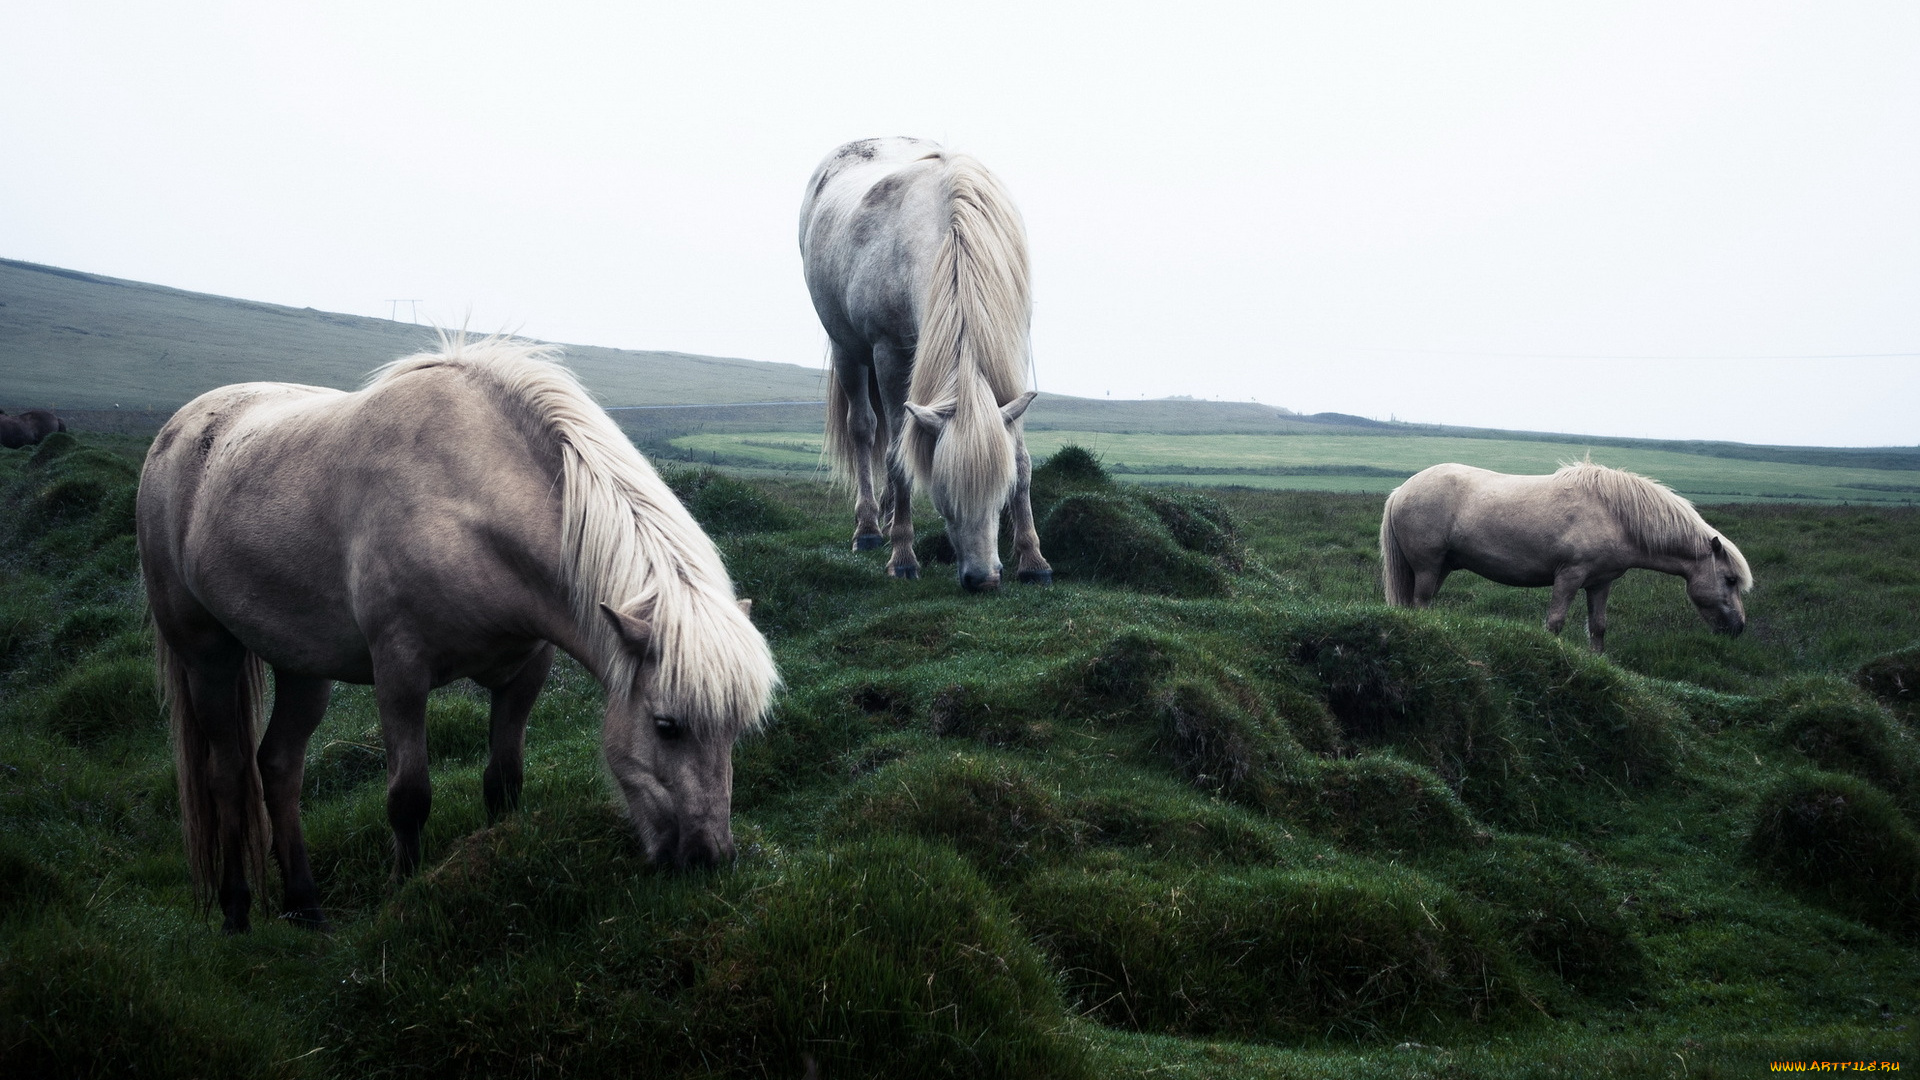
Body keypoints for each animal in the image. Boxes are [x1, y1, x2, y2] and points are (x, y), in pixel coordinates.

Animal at [133, 336, 779, 926]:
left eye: (737, 730)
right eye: (667, 726)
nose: (708, 859)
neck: (464, 501)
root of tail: (175, 431)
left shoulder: (524, 672)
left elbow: (504, 781)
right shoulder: (400, 674)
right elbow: (408, 798)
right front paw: (402, 897)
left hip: (301, 665)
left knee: (279, 767)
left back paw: (306, 907)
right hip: (206, 654)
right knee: (227, 775)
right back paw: (237, 912)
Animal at [802, 135, 1059, 591]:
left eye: (998, 495)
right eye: (944, 501)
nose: (982, 580)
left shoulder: (1011, 354)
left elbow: (1021, 458)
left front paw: (1034, 559)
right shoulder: (889, 353)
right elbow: (896, 457)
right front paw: (903, 557)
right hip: (849, 350)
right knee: (865, 429)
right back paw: (870, 529)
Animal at [1382, 457, 1758, 653]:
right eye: (1730, 579)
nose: (1738, 628)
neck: (1615, 515)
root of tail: (1402, 489)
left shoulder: (1600, 583)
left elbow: (1599, 627)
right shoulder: (1569, 576)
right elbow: (1555, 622)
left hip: (1441, 567)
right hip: (1428, 567)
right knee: (1421, 603)